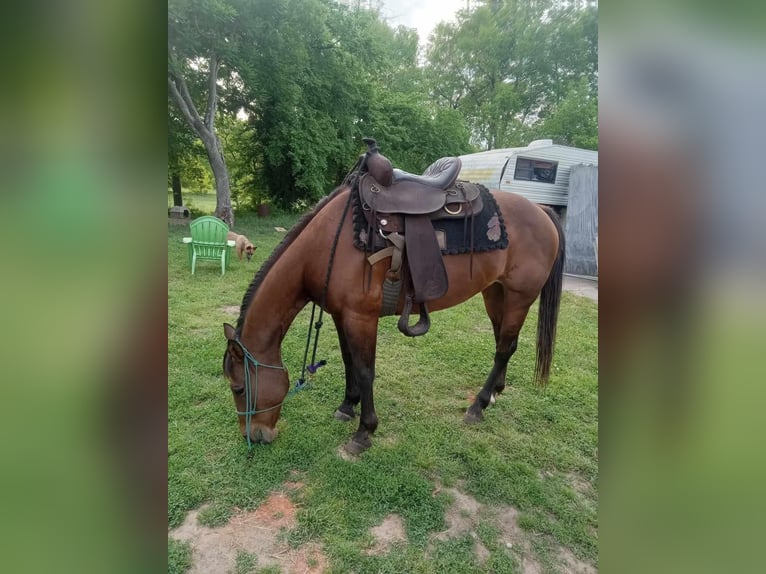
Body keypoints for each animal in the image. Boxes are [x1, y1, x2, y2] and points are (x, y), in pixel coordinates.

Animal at [222, 174, 564, 454]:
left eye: (239, 388)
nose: (253, 436)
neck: (323, 245)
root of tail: (541, 210)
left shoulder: (360, 317)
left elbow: (365, 371)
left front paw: (364, 431)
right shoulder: (340, 315)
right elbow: (349, 362)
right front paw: (347, 405)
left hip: (520, 297)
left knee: (505, 347)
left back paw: (477, 406)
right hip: (495, 292)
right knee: (503, 344)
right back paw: (493, 393)